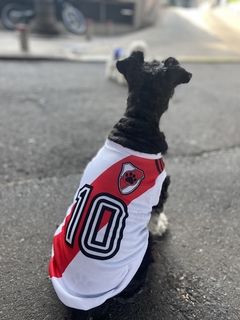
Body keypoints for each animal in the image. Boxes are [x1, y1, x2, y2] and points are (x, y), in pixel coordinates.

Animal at [48, 51, 191, 318]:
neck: (138, 121)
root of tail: (81, 304)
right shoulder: (161, 188)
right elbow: (157, 213)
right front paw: (161, 226)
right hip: (142, 250)